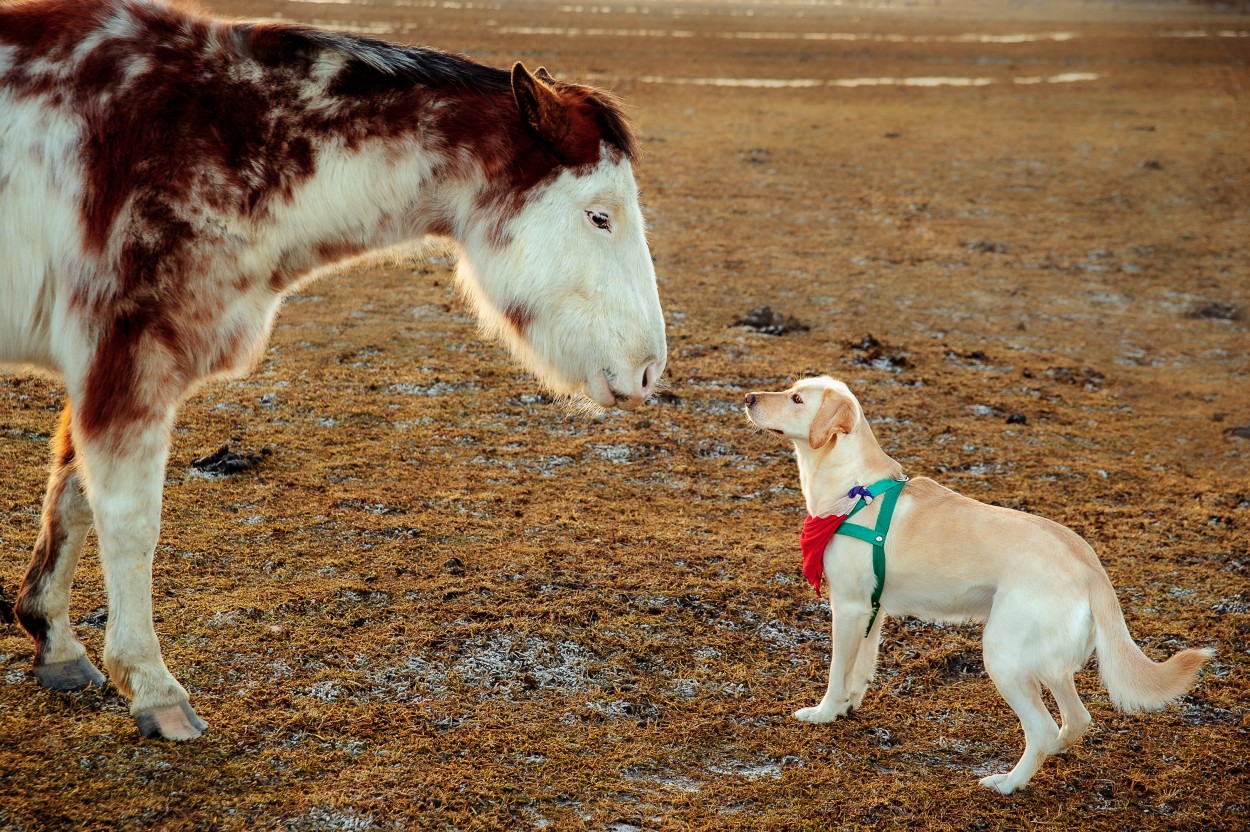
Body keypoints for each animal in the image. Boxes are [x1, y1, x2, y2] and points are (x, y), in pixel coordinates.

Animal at [0, 0, 670, 739]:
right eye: (599, 216)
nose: (648, 371)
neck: (220, 136)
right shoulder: (128, 354)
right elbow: (129, 519)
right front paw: (154, 690)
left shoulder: (98, 364)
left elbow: (70, 493)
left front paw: (56, 644)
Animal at [740, 374, 1210, 789]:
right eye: (790, 389)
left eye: (797, 399)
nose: (747, 397)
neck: (853, 490)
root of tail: (1089, 565)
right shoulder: (872, 608)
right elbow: (860, 668)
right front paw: (847, 707)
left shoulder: (850, 607)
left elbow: (838, 670)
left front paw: (823, 713)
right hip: (1045, 663)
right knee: (1077, 719)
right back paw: (1053, 752)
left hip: (1003, 656)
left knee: (1041, 728)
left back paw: (1008, 783)